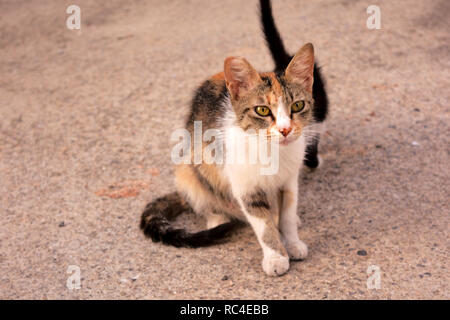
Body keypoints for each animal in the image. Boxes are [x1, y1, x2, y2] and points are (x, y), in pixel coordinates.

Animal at [142, 0, 328, 276]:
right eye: (262, 110)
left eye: (298, 105)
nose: (285, 130)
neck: (272, 152)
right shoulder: (244, 185)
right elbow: (263, 224)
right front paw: (276, 257)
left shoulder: (289, 180)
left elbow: (286, 212)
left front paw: (292, 241)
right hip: (190, 167)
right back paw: (219, 218)